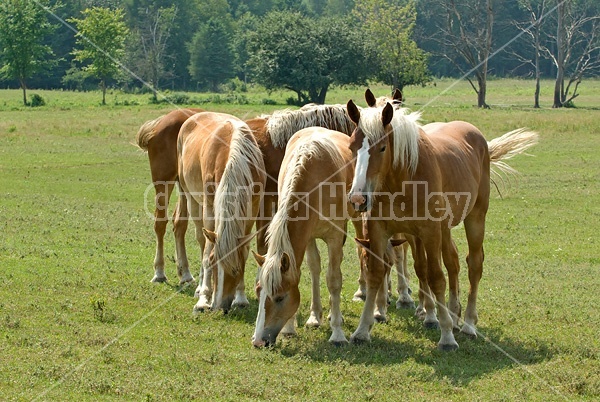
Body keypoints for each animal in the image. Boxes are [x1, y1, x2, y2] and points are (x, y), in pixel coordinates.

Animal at [176, 112, 264, 310]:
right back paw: (199, 288)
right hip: (191, 198)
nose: (220, 305)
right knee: (201, 240)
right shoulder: (209, 208)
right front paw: (203, 299)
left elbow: (244, 250)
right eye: (213, 262)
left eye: (236, 269)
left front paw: (241, 298)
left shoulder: (251, 211)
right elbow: (206, 250)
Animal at [250, 128, 358, 346]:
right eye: (258, 292)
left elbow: (334, 280)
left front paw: (337, 333)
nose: (258, 341)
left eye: (280, 298)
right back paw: (317, 316)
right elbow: (307, 269)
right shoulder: (306, 237)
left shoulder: (334, 237)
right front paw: (291, 327)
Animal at [344, 96, 536, 350]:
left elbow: (435, 276)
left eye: (382, 147)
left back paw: (467, 324)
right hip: (445, 230)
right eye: (351, 147)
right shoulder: (378, 231)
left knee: (474, 264)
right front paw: (363, 329)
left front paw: (445, 335)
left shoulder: (429, 231)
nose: (358, 198)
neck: (403, 179)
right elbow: (376, 273)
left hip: (475, 218)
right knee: (453, 261)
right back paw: (455, 315)